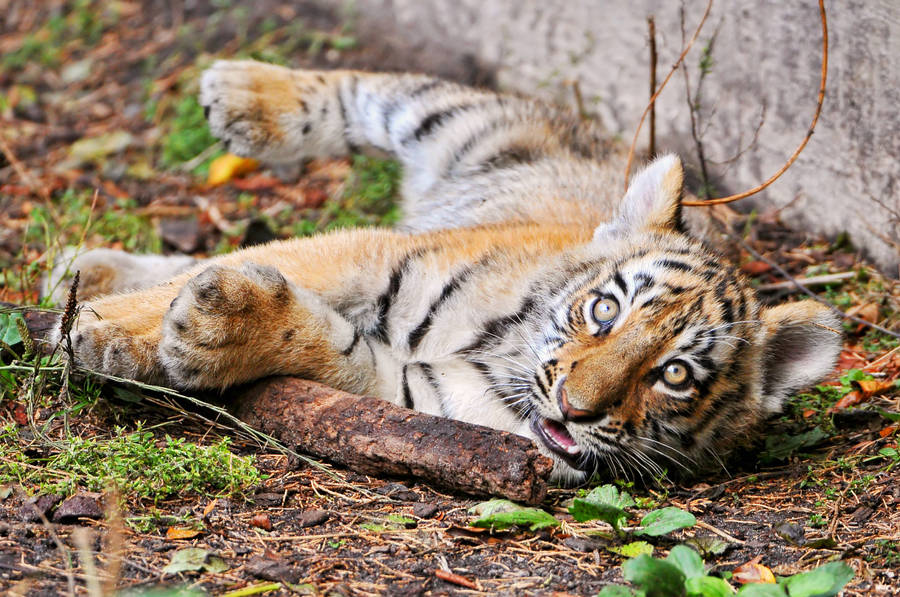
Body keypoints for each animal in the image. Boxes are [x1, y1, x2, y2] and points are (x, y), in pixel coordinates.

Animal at [46, 60, 842, 485]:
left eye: (674, 375)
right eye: (605, 310)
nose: (576, 409)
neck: (500, 354)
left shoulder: (410, 394)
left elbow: (324, 344)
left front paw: (211, 330)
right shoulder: (371, 252)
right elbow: (247, 260)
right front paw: (110, 329)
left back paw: (84, 271)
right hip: (464, 123)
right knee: (372, 92)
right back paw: (244, 95)